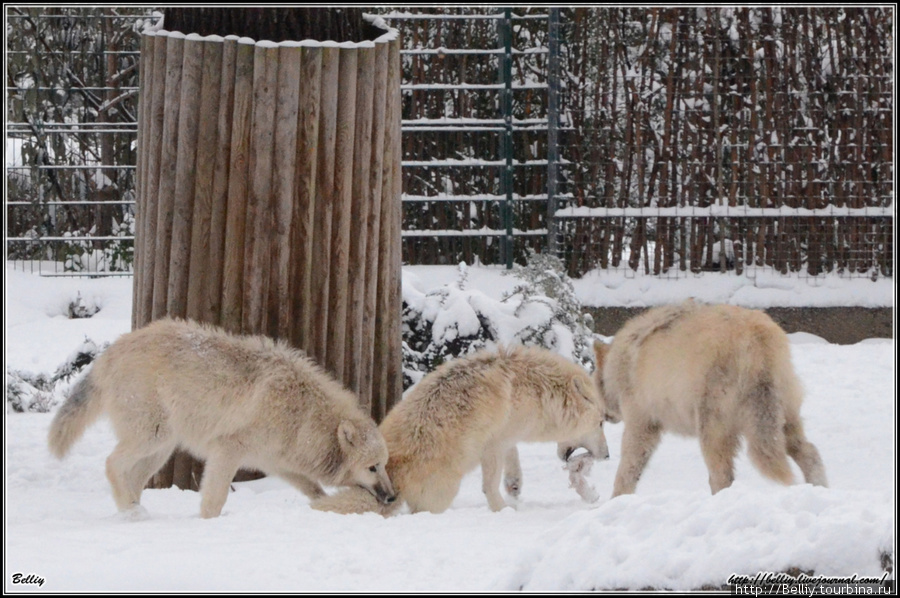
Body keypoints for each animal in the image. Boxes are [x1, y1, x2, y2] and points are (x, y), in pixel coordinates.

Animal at [48, 318, 394, 520]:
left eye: (384, 465)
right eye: (372, 467)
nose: (392, 496)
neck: (303, 414)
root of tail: (108, 353)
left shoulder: (275, 463)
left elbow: (315, 491)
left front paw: (326, 508)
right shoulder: (228, 451)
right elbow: (214, 500)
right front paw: (208, 525)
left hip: (160, 450)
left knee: (131, 477)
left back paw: (135, 513)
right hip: (152, 437)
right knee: (111, 464)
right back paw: (130, 512)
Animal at [312, 344, 608, 516]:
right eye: (601, 423)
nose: (607, 456)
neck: (539, 390)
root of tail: (392, 477)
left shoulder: (506, 438)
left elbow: (512, 464)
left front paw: (514, 488)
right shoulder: (493, 445)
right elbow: (490, 486)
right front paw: (503, 511)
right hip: (446, 488)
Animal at [592, 302, 828, 500]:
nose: (603, 415)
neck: (620, 363)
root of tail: (756, 339)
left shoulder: (641, 425)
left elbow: (627, 470)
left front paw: (617, 500)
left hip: (712, 431)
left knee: (721, 476)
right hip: (784, 421)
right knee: (810, 453)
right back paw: (820, 488)